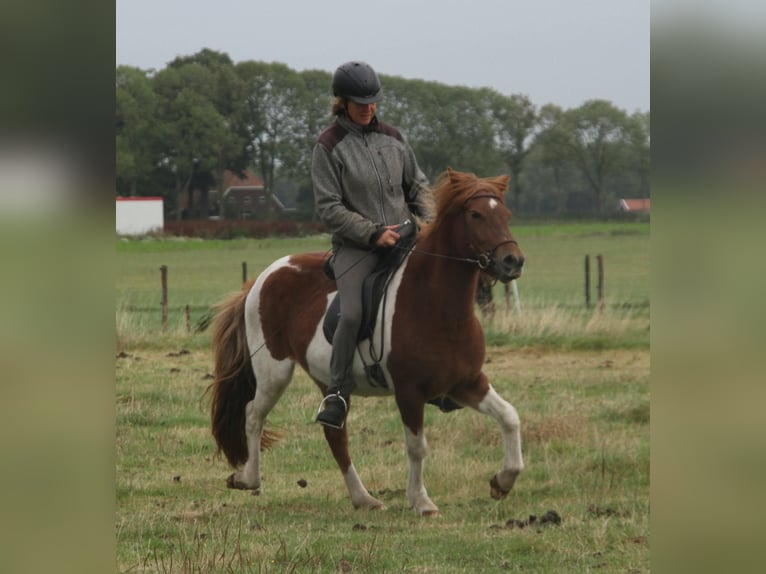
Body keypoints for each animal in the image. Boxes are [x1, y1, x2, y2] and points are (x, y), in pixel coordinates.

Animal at [208, 168, 525, 516]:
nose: (513, 261)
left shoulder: (467, 382)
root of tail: (262, 278)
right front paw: (421, 501)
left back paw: (363, 498)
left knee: (335, 434)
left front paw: (503, 481)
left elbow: (510, 417)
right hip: (273, 372)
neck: (437, 305)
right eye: (475, 214)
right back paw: (247, 478)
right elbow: (417, 447)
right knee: (254, 414)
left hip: (330, 382)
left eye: (507, 215)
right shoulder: (409, 392)